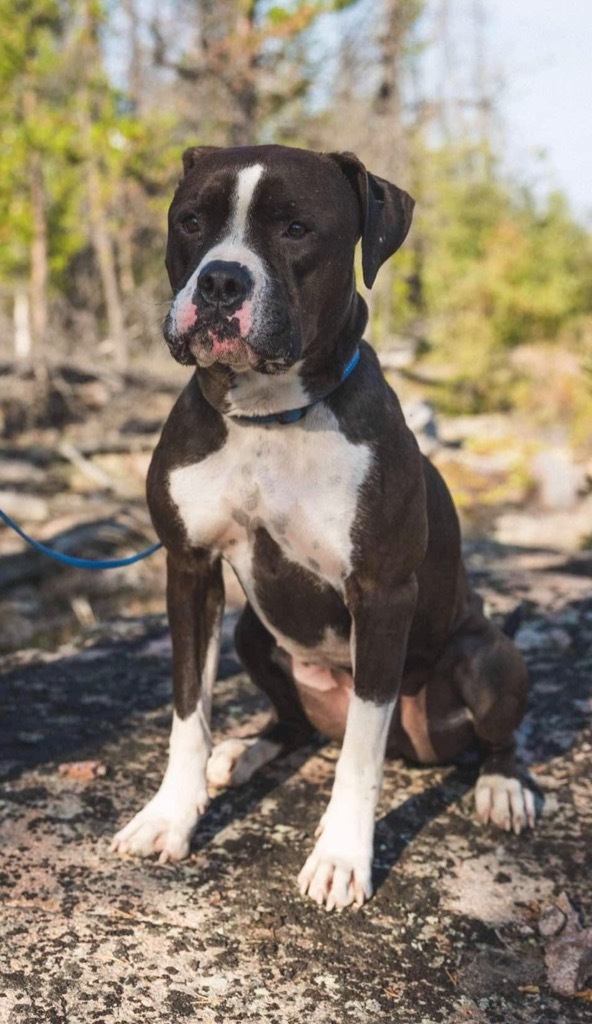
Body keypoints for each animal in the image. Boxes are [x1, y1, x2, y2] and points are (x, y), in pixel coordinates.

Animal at [109, 146, 528, 913]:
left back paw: (503, 787)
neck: (269, 415)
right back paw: (244, 751)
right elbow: (187, 709)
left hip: (487, 655)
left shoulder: (382, 595)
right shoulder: (189, 569)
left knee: (491, 732)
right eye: (191, 222)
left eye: (298, 228)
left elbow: (362, 748)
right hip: (252, 633)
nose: (220, 280)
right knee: (295, 722)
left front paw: (340, 856)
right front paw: (170, 816)